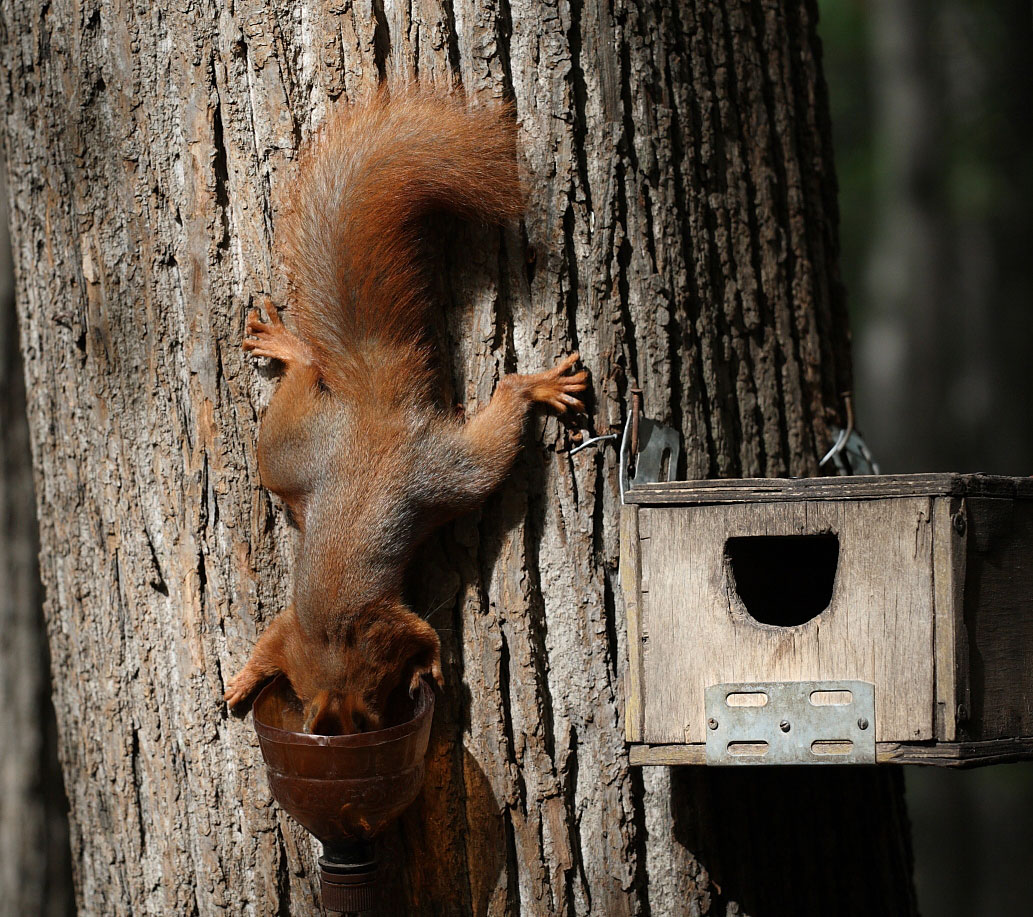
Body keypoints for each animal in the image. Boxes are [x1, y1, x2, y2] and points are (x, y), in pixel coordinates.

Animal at [225, 84, 590, 731]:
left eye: (374, 710)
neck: (333, 652)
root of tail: (377, 412)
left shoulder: (378, 625)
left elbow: (422, 635)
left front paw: (430, 669)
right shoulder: (297, 636)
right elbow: (269, 647)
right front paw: (243, 680)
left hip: (434, 471)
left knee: (502, 400)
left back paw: (537, 388)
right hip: (296, 453)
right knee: (308, 375)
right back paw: (289, 348)